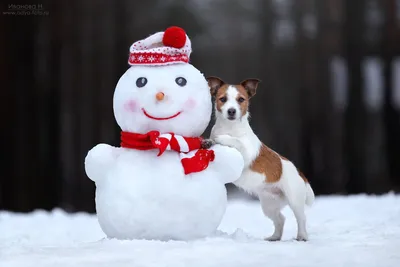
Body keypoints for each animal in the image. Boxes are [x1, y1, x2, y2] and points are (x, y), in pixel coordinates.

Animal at [205, 77, 314, 243]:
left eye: (241, 99)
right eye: (223, 99)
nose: (231, 111)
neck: (230, 128)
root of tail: (299, 172)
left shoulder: (245, 154)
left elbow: (236, 142)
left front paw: (222, 138)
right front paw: (209, 141)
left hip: (294, 199)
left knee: (301, 218)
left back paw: (302, 236)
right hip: (269, 204)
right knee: (280, 219)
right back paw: (274, 237)